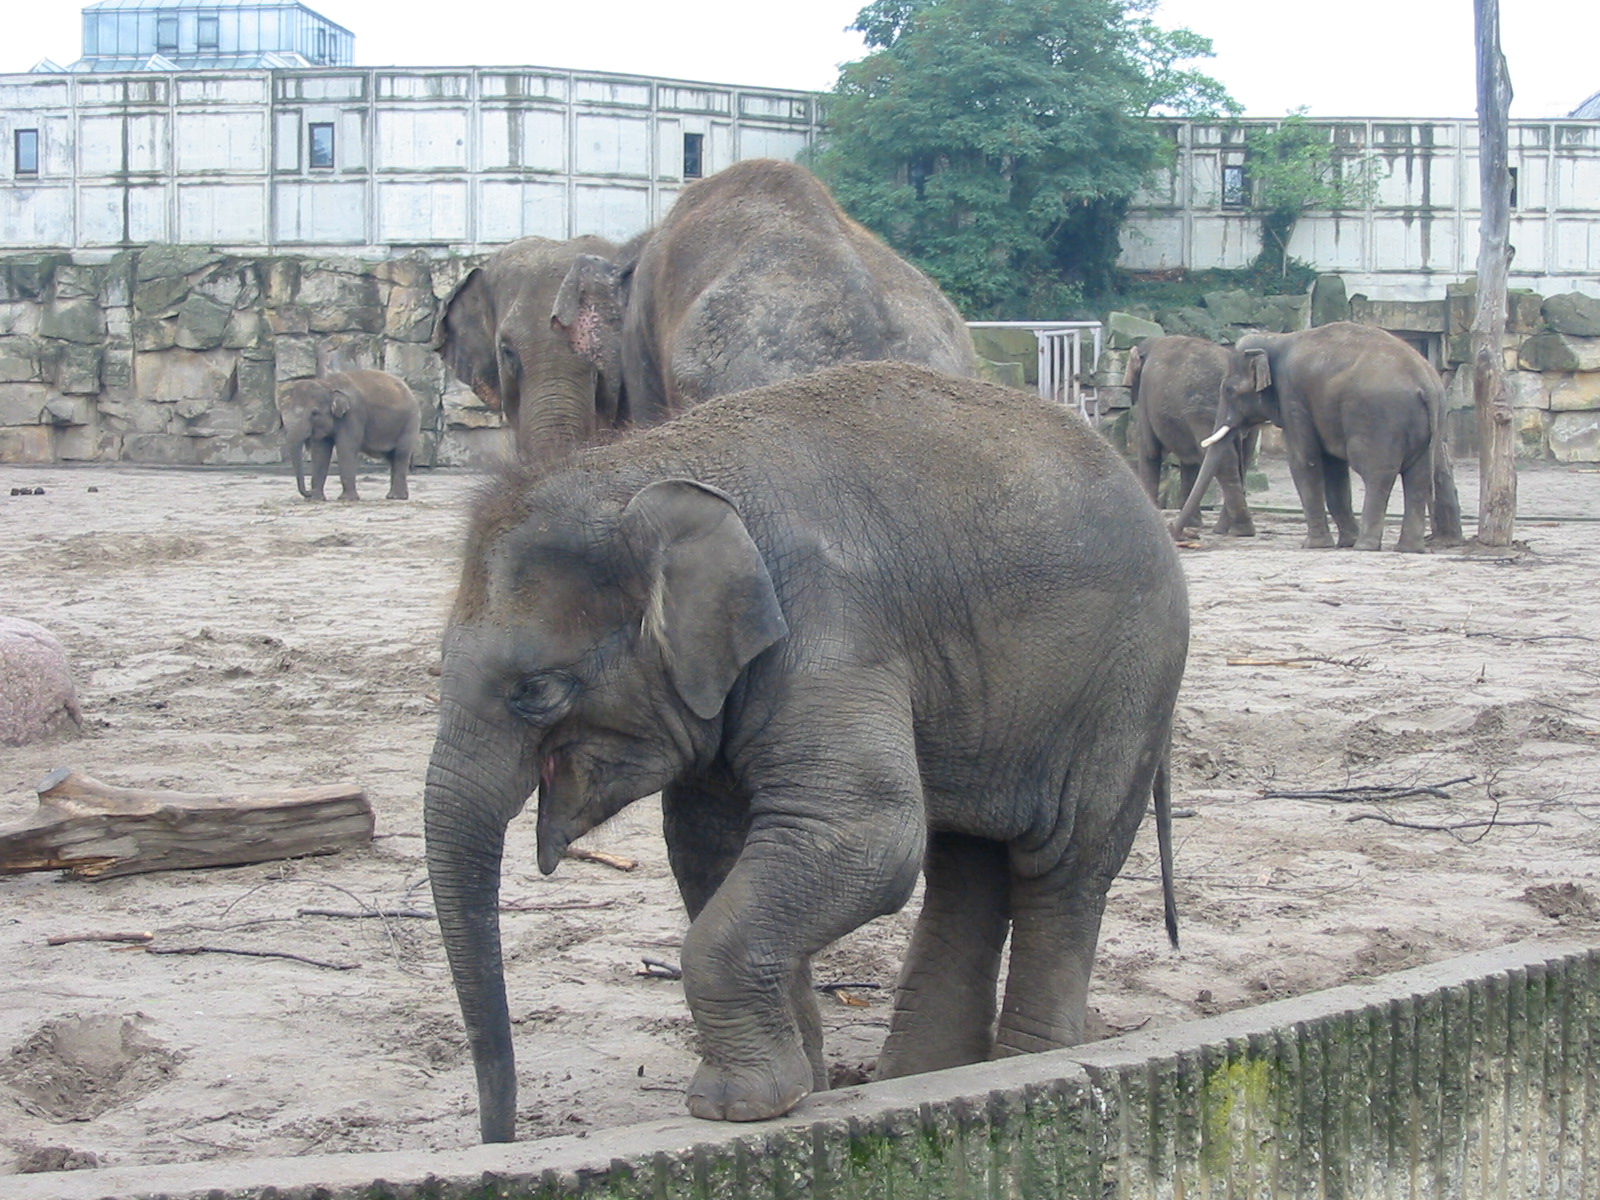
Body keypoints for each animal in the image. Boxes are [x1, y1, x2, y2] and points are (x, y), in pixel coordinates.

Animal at [278, 369, 421, 502]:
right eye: (283, 415)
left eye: (314, 413)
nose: (308, 492)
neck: (328, 385)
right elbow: (320, 451)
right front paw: (316, 499)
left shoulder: (353, 414)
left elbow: (346, 448)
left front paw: (346, 499)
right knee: (392, 458)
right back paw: (393, 496)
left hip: (411, 421)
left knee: (401, 454)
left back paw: (397, 497)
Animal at [424, 360, 1189, 1143]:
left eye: (536, 691)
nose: (500, 1138)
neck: (650, 464)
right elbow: (711, 849)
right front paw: (802, 1092)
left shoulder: (829, 627)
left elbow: (866, 834)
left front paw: (737, 1108)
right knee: (966, 861)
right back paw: (926, 1077)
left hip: (1125, 686)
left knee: (1063, 866)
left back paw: (1025, 1067)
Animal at [1125, 335, 1259, 536]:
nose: (1172, 527)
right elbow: (1190, 465)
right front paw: (1194, 524)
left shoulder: (1145, 402)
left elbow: (1150, 452)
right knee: (1242, 461)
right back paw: (1226, 529)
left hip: (1202, 412)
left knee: (1226, 463)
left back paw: (1239, 530)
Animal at [1173, 322, 1463, 552]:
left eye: (1229, 390)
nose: (1180, 534)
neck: (1276, 338)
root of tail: (1426, 384)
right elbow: (1334, 469)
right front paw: (1344, 541)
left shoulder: (1293, 396)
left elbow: (1304, 461)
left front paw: (1314, 545)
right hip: (1429, 426)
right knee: (1419, 476)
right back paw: (1408, 549)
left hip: (1379, 421)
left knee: (1377, 473)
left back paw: (1365, 546)